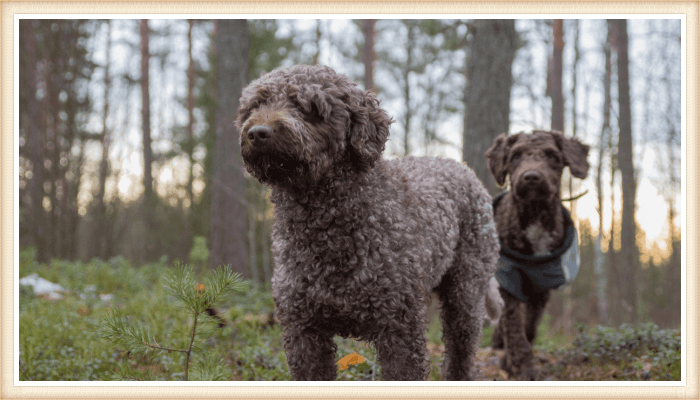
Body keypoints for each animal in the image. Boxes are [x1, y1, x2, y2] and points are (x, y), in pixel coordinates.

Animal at [238, 65, 500, 382]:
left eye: (309, 107)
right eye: (255, 106)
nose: (257, 133)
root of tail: (462, 168)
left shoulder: (400, 327)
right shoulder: (304, 331)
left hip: (466, 291)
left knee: (461, 352)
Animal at [486, 130, 592, 380]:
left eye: (552, 156)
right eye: (515, 156)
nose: (531, 177)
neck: (535, 215)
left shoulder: (542, 287)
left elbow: (529, 327)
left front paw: (510, 362)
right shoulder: (509, 280)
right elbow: (515, 329)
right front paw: (521, 368)